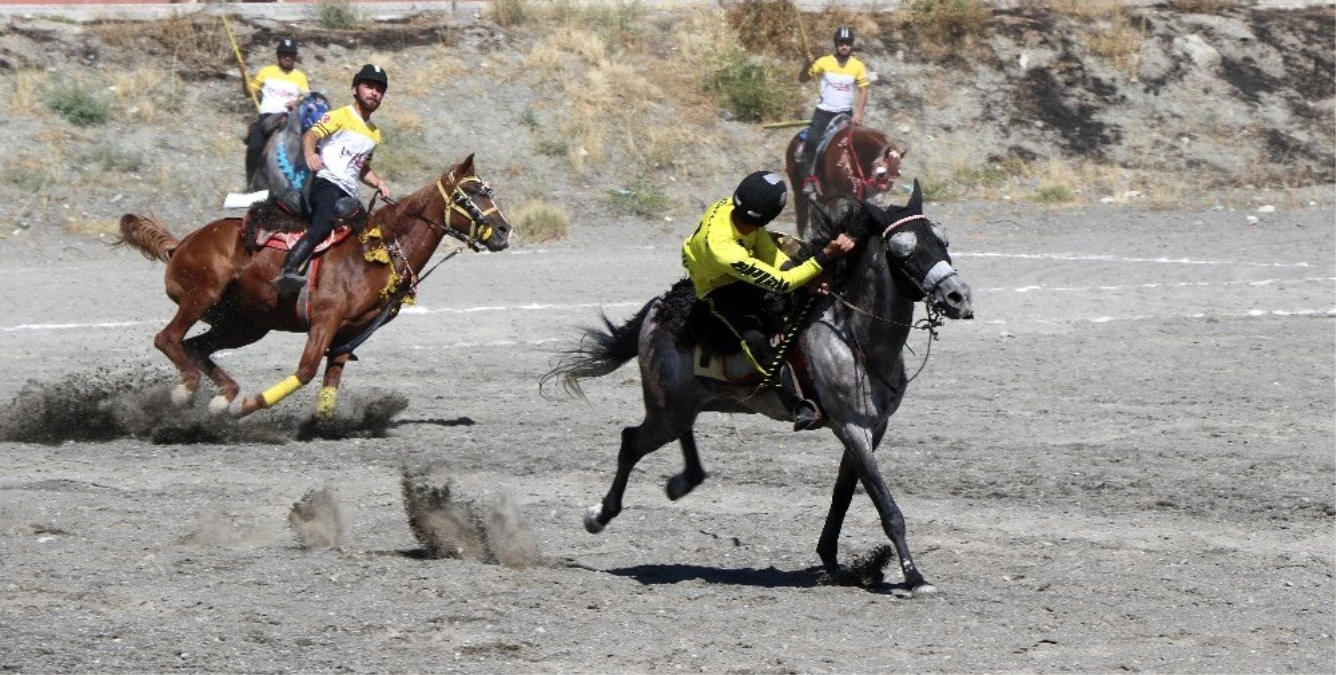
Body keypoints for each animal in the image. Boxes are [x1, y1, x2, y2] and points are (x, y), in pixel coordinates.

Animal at [117, 153, 510, 417]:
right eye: (468, 195)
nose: (504, 231)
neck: (375, 252)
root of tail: (181, 243)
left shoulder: (349, 333)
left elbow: (329, 384)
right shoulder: (325, 319)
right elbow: (305, 371)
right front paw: (250, 405)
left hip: (245, 324)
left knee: (196, 347)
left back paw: (222, 396)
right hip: (201, 295)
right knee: (167, 338)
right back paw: (190, 392)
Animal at [542, 181, 972, 590]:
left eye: (943, 240)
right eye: (903, 251)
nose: (957, 296)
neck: (854, 335)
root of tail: (657, 310)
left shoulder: (873, 428)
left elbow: (843, 494)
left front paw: (833, 562)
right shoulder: (851, 426)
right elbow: (887, 506)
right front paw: (915, 578)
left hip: (682, 404)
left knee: (677, 434)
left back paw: (682, 482)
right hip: (667, 407)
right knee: (632, 441)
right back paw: (600, 515)